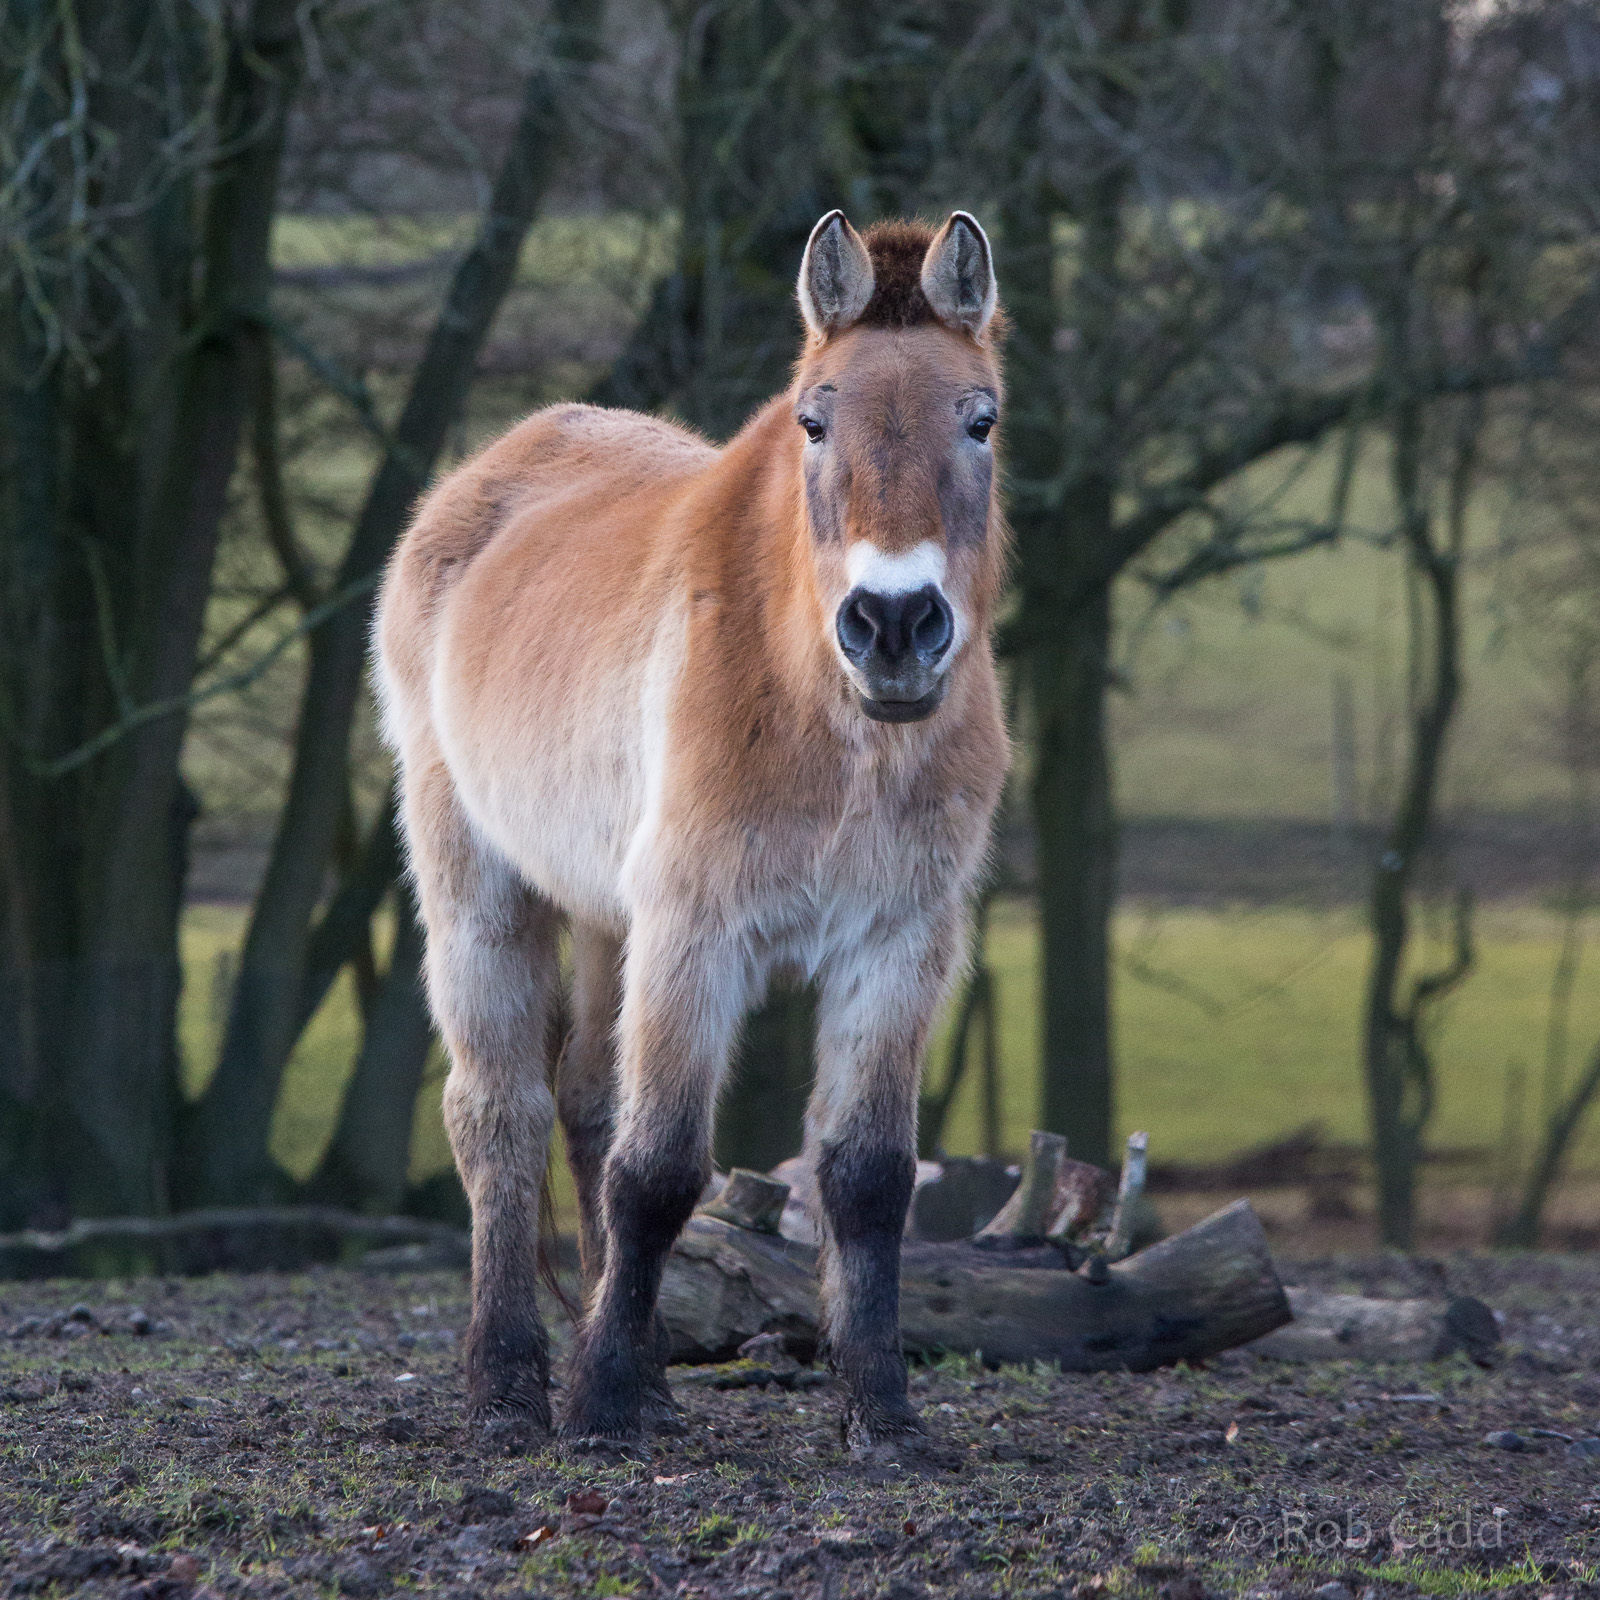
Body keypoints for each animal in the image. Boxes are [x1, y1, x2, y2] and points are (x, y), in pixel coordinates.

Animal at [374, 208, 1009, 1454]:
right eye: (813, 418)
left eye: (982, 419)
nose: (894, 624)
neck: (825, 717)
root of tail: (493, 469)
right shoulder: (693, 932)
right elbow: (661, 1168)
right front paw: (599, 1410)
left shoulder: (898, 943)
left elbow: (867, 1176)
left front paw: (881, 1413)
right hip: (476, 883)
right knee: (501, 1116)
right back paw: (507, 1389)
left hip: (599, 911)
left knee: (581, 1102)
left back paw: (642, 1377)